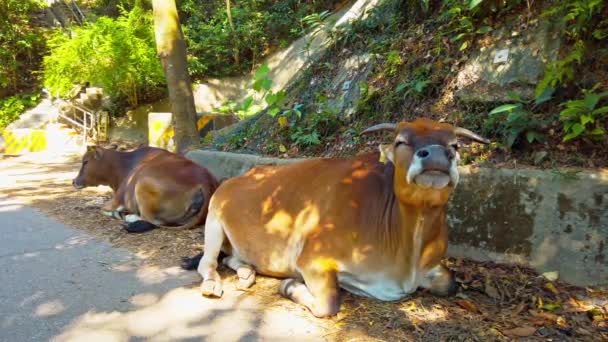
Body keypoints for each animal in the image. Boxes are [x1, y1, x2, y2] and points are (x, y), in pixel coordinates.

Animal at [72, 146, 218, 234]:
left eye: (85, 161)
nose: (74, 181)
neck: (124, 164)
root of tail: (205, 181)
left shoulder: (118, 199)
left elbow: (103, 208)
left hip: (142, 184)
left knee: (152, 220)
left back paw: (129, 217)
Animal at [195, 118, 490, 318]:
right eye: (401, 141)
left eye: (455, 145)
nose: (439, 154)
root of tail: (241, 175)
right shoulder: (312, 258)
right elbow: (327, 304)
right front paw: (289, 285)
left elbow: (450, 282)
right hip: (213, 220)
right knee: (206, 263)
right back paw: (213, 284)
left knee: (232, 258)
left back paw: (246, 273)